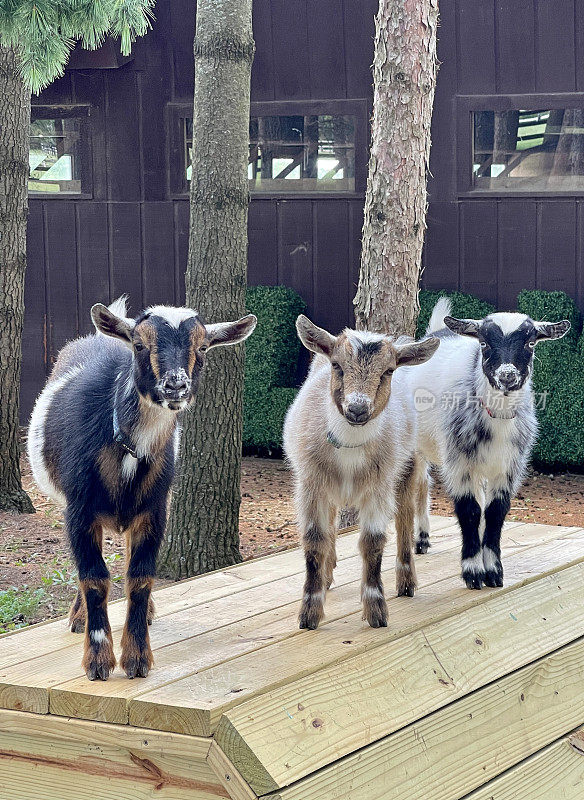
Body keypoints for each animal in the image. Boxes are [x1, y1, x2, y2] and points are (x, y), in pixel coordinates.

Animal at [27, 300, 256, 680]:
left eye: (203, 347)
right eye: (139, 345)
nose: (175, 386)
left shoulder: (154, 511)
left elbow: (140, 577)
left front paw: (136, 658)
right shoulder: (79, 510)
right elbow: (94, 578)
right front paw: (98, 661)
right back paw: (78, 618)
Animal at [282, 316, 438, 628]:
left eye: (388, 371)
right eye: (337, 365)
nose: (357, 409)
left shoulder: (378, 486)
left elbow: (373, 541)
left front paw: (376, 610)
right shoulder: (310, 484)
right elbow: (315, 540)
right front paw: (309, 613)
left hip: (408, 463)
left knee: (405, 517)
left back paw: (406, 581)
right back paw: (328, 575)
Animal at [400, 296, 568, 592]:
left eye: (531, 343)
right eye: (483, 343)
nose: (507, 376)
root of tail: (434, 332)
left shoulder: (508, 467)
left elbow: (494, 512)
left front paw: (493, 571)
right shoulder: (459, 463)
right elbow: (469, 510)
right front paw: (473, 572)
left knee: (426, 484)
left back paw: (425, 538)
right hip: (417, 447)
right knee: (418, 485)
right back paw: (418, 540)